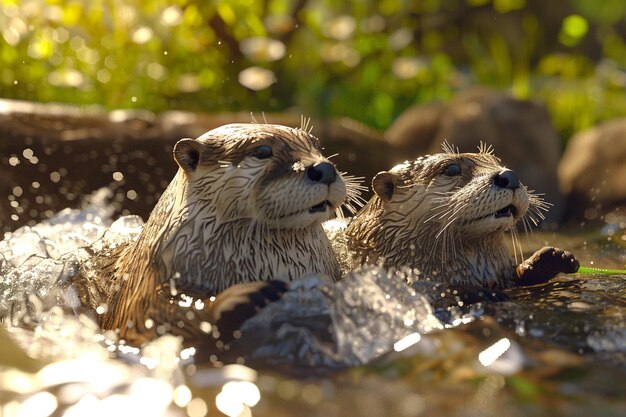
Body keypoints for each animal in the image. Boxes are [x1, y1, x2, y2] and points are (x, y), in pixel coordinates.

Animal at [77, 123, 360, 348]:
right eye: (263, 151)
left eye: (317, 146)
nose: (324, 168)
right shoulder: (141, 289)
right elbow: (151, 318)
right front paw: (238, 297)